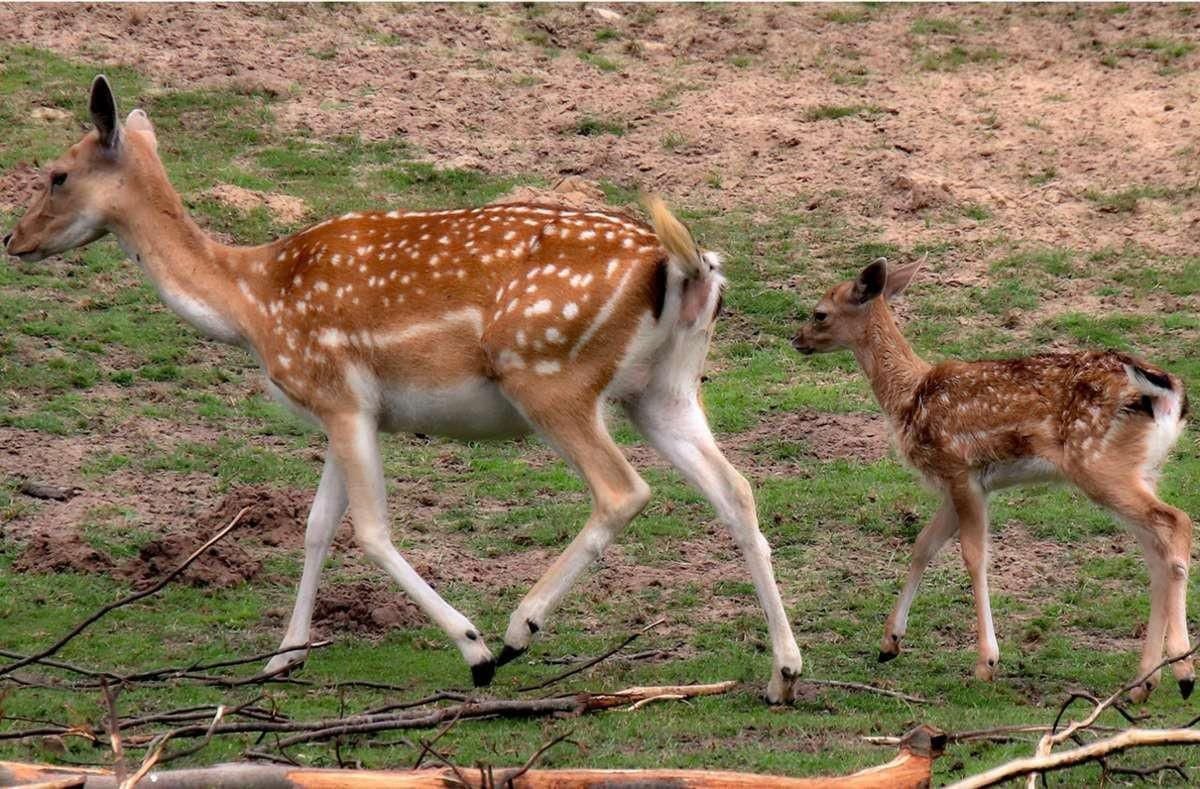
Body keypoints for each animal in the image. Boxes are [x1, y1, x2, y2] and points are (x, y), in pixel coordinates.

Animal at [7, 73, 806, 695]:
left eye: (57, 173)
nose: (13, 240)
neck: (253, 304)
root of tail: (690, 269)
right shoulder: (349, 408)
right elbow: (316, 526)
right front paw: (282, 658)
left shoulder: (335, 390)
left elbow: (370, 529)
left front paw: (473, 649)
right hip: (663, 389)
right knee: (737, 489)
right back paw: (783, 672)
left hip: (550, 375)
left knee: (623, 489)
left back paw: (518, 629)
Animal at [792, 255, 1195, 695]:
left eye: (820, 313)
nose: (796, 339)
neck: (910, 398)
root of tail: (1168, 394)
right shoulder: (961, 485)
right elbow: (923, 545)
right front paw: (889, 642)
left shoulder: (959, 470)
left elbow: (973, 555)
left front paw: (986, 662)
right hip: (1140, 469)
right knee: (1155, 553)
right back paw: (1144, 682)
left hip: (1099, 464)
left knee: (1177, 521)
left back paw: (1183, 671)